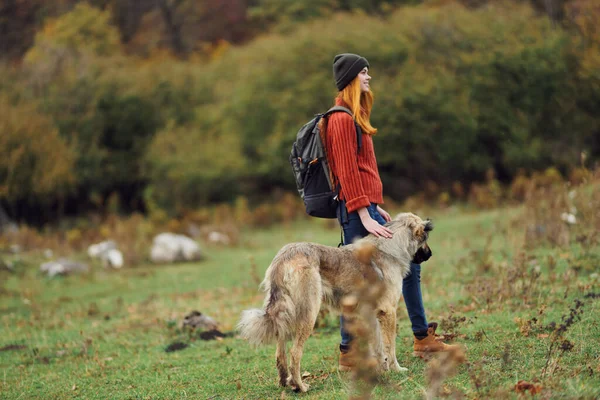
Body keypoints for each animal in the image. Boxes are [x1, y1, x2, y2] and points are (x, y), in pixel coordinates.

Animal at [237, 214, 434, 392]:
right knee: (295, 353)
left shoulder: (372, 315)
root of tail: (284, 256)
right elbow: (390, 347)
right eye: (425, 239)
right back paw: (300, 386)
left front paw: (381, 369)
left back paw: (285, 382)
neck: (391, 247)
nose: (430, 255)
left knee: (280, 353)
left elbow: (378, 347)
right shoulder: (388, 312)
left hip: (286, 315)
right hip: (309, 315)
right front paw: (395, 369)